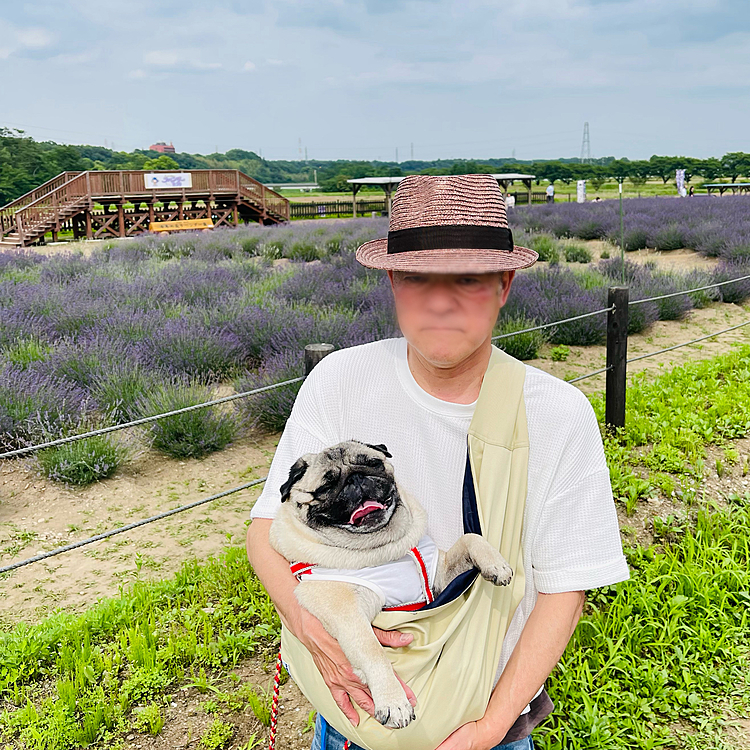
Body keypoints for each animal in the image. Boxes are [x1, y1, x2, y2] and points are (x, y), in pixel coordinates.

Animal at [268, 444, 516, 732]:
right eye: (326, 487)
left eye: (373, 464)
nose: (356, 478)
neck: (385, 549)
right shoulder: (346, 611)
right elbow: (371, 650)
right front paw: (393, 702)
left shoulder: (440, 576)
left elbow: (470, 538)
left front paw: (495, 564)